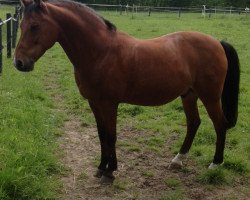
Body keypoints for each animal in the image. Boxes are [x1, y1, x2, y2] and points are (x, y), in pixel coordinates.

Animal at [14, 0, 240, 184]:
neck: (101, 52)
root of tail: (217, 42)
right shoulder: (94, 102)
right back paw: (178, 160)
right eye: (21, 25)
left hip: (210, 96)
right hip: (189, 95)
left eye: (34, 26)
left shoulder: (109, 104)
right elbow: (101, 135)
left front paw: (110, 172)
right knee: (194, 123)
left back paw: (215, 164)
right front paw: (100, 168)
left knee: (219, 125)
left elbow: (111, 135)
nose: (19, 62)